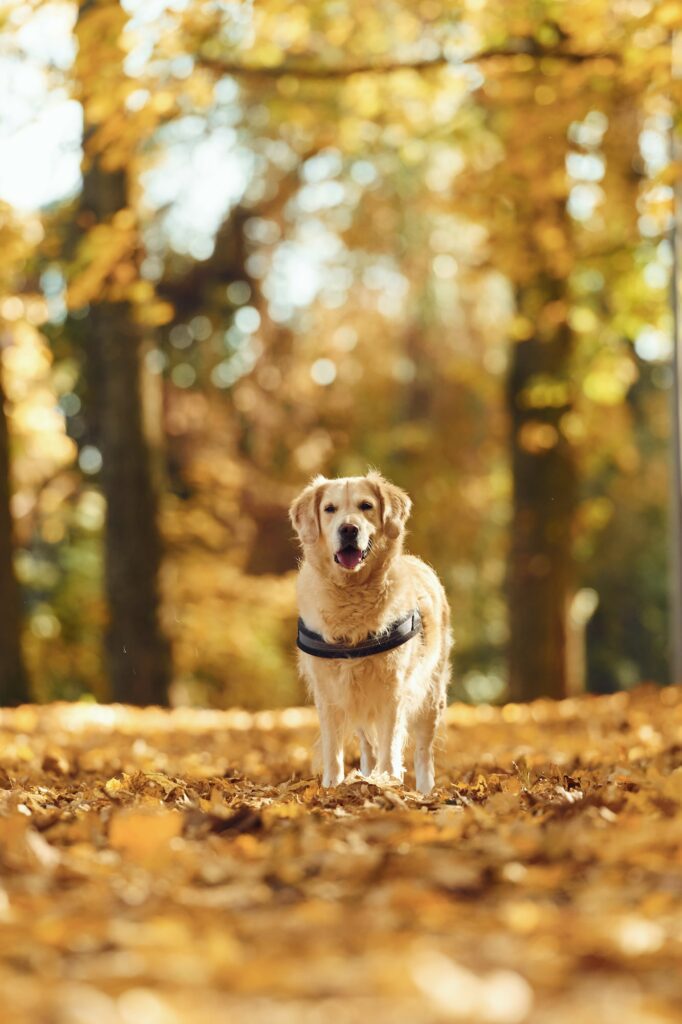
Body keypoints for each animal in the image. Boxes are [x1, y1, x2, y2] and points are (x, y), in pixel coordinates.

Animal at [288, 468, 450, 794]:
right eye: (330, 509)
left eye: (366, 506)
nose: (349, 529)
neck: (352, 595)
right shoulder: (329, 692)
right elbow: (334, 750)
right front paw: (332, 786)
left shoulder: (392, 690)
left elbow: (391, 748)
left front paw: (387, 783)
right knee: (369, 746)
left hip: (431, 696)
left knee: (423, 753)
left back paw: (424, 792)